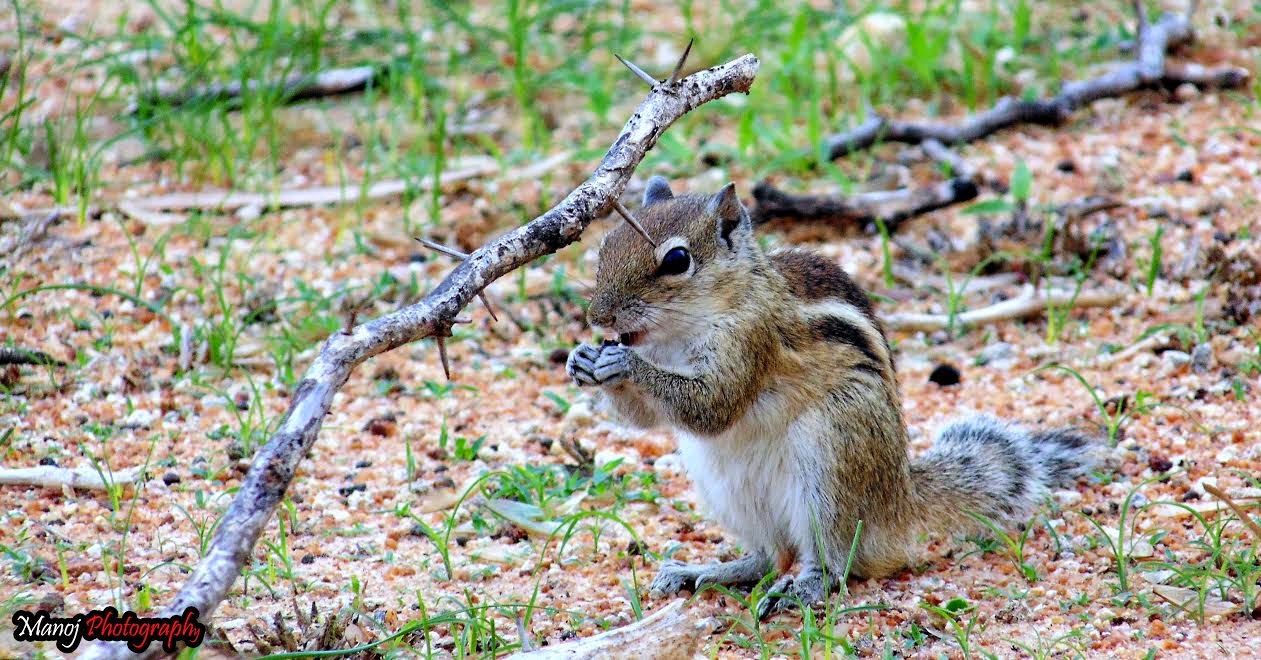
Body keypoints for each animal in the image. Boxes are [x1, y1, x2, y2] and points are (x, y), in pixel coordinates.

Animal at [566, 177, 1098, 617]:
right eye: (606, 245)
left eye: (677, 260)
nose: (598, 316)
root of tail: (900, 503)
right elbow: (644, 419)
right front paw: (582, 359)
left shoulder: (751, 342)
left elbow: (713, 405)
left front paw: (624, 365)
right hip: (722, 483)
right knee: (768, 555)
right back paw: (707, 571)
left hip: (831, 455)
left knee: (834, 559)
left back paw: (802, 587)